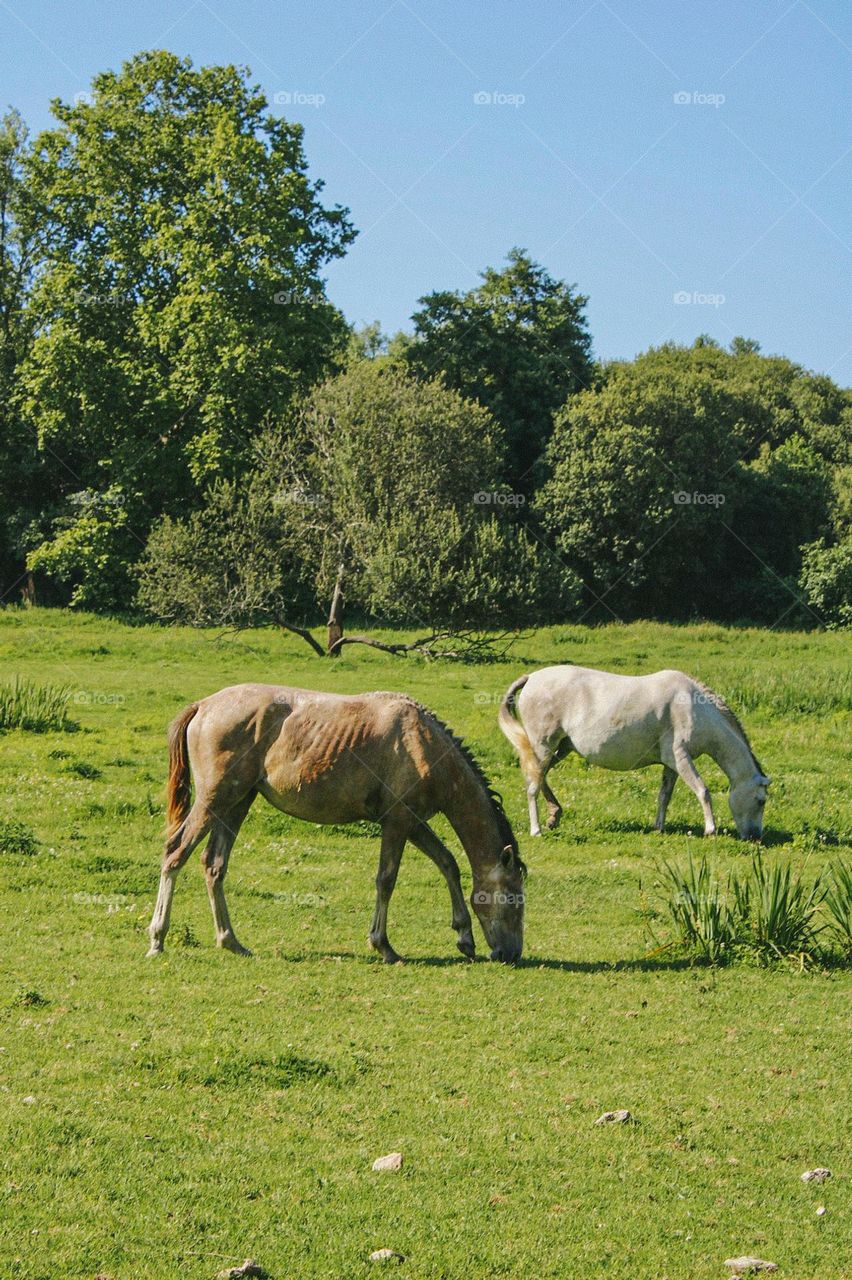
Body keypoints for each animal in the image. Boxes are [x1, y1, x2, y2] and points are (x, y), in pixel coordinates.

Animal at [144, 686, 524, 962]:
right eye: (513, 898)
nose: (510, 954)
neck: (424, 744)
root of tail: (203, 706)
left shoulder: (413, 823)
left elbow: (448, 864)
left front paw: (464, 937)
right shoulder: (397, 822)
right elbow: (386, 880)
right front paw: (383, 945)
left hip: (236, 804)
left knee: (214, 865)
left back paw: (230, 940)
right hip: (214, 801)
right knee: (175, 854)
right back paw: (158, 939)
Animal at [498, 670, 767, 839]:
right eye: (761, 801)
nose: (756, 837)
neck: (693, 706)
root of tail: (532, 677)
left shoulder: (671, 764)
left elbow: (664, 796)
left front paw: (659, 828)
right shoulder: (681, 758)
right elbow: (703, 791)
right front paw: (710, 829)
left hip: (560, 748)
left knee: (540, 777)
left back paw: (554, 815)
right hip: (543, 747)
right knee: (533, 785)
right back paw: (537, 829)